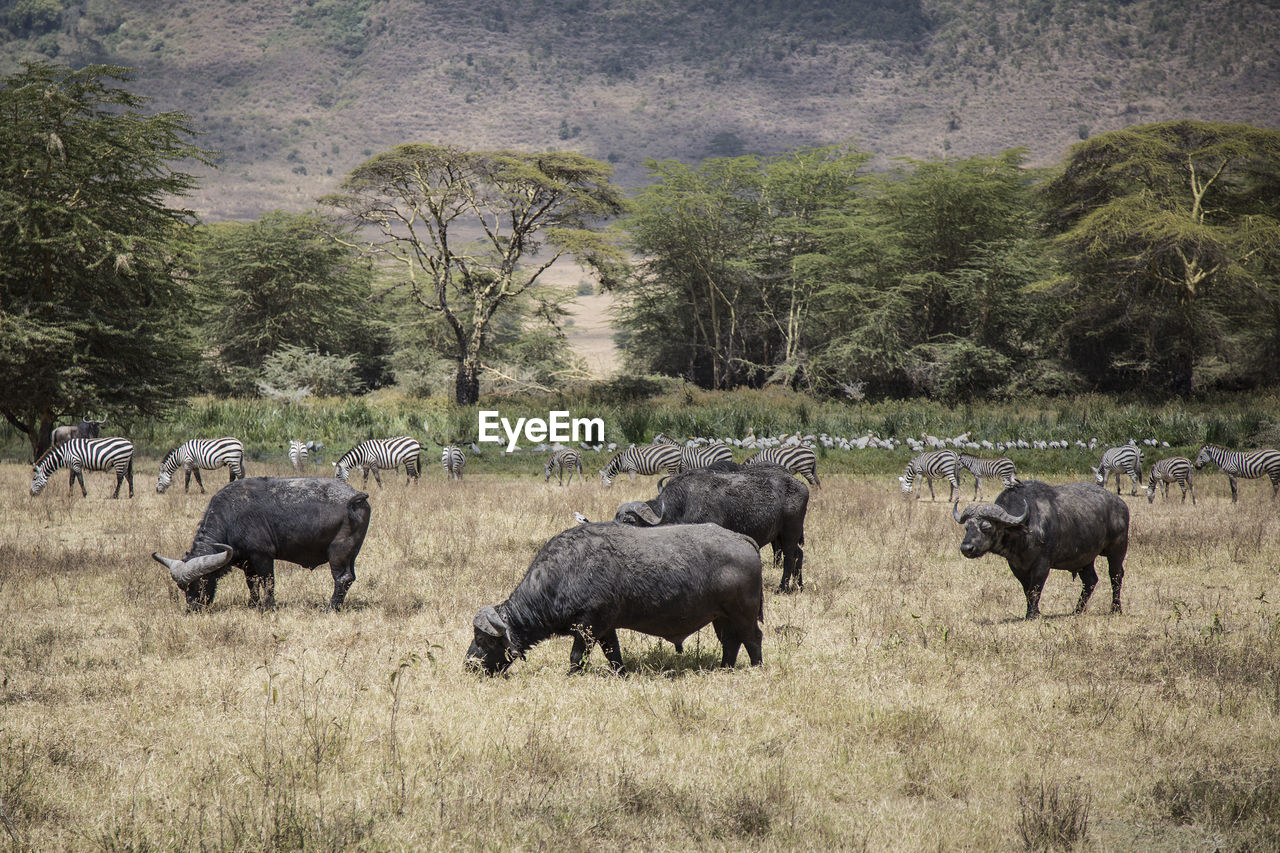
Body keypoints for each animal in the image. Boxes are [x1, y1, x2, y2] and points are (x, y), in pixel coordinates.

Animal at [151, 473, 371, 607]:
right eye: (182, 587)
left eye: (202, 582)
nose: (194, 607)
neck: (231, 517)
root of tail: (355, 497)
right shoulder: (247, 562)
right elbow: (252, 583)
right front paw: (254, 603)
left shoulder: (262, 556)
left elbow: (268, 582)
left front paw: (267, 606)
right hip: (351, 555)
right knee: (349, 578)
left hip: (338, 553)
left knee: (342, 578)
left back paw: (330, 607)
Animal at [471, 522, 768, 676]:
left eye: (484, 640)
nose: (469, 665)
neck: (565, 572)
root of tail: (741, 538)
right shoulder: (606, 628)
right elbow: (613, 654)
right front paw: (620, 674)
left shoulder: (588, 626)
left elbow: (576, 656)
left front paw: (572, 675)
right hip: (722, 617)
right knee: (731, 641)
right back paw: (725, 668)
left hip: (743, 613)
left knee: (753, 638)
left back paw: (757, 667)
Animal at [611, 458, 808, 591]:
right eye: (616, 518)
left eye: (629, 521)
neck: (684, 503)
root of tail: (801, 486)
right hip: (781, 535)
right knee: (799, 554)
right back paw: (799, 585)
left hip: (790, 533)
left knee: (789, 557)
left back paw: (783, 587)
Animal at [952, 479, 1131, 617]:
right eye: (967, 527)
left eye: (986, 527)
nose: (966, 548)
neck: (1025, 528)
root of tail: (1121, 505)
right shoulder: (1016, 566)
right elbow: (1027, 590)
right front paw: (1032, 612)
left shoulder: (1042, 565)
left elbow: (1035, 589)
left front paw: (1033, 615)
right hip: (1085, 558)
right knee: (1090, 581)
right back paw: (1077, 611)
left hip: (1118, 549)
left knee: (1115, 576)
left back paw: (1115, 609)